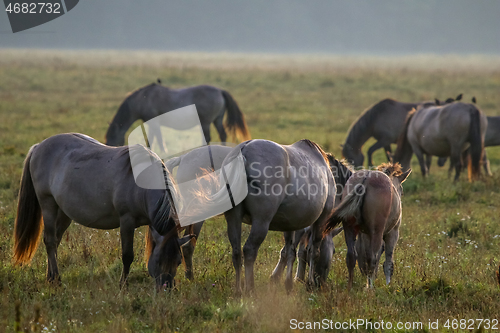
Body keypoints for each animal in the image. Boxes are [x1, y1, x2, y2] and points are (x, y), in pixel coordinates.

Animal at [13, 132, 193, 288]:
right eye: (158, 261)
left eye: (178, 261)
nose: (167, 288)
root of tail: (38, 146)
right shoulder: (126, 221)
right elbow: (127, 256)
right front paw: (122, 285)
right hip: (48, 204)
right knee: (50, 241)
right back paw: (56, 279)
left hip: (63, 212)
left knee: (56, 241)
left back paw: (50, 277)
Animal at [105, 81, 250, 145]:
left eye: (111, 137)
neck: (144, 98)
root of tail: (220, 91)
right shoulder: (152, 124)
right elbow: (151, 140)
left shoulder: (154, 123)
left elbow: (157, 140)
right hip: (217, 120)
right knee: (222, 135)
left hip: (205, 122)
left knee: (207, 138)